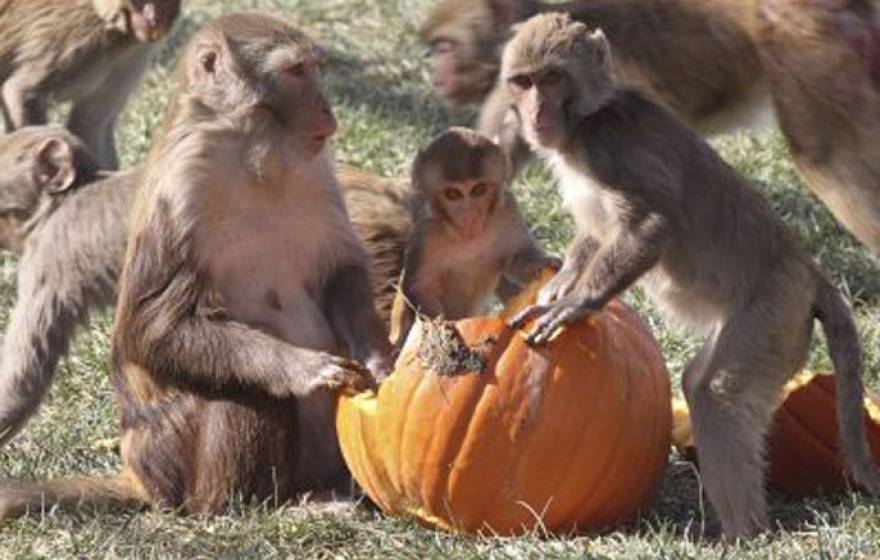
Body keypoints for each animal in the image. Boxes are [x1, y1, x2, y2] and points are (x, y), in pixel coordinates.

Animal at [0, 0, 182, 169]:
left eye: (161, 3)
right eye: (139, 3)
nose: (153, 19)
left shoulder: (135, 53)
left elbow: (90, 123)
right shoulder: (76, 35)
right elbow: (21, 93)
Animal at [392, 127, 556, 346]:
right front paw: (443, 333)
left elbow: (516, 259)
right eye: (453, 194)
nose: (469, 215)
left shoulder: (507, 210)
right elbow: (418, 286)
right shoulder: (426, 233)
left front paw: (544, 263)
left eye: (479, 189)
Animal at [501, 13, 880, 538]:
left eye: (553, 78)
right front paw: (558, 287)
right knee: (700, 382)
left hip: (774, 310)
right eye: (524, 82)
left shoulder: (608, 148)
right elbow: (597, 232)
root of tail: (807, 270)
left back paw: (746, 534)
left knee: (716, 394)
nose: (537, 113)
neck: (587, 119)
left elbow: (651, 225)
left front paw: (576, 304)